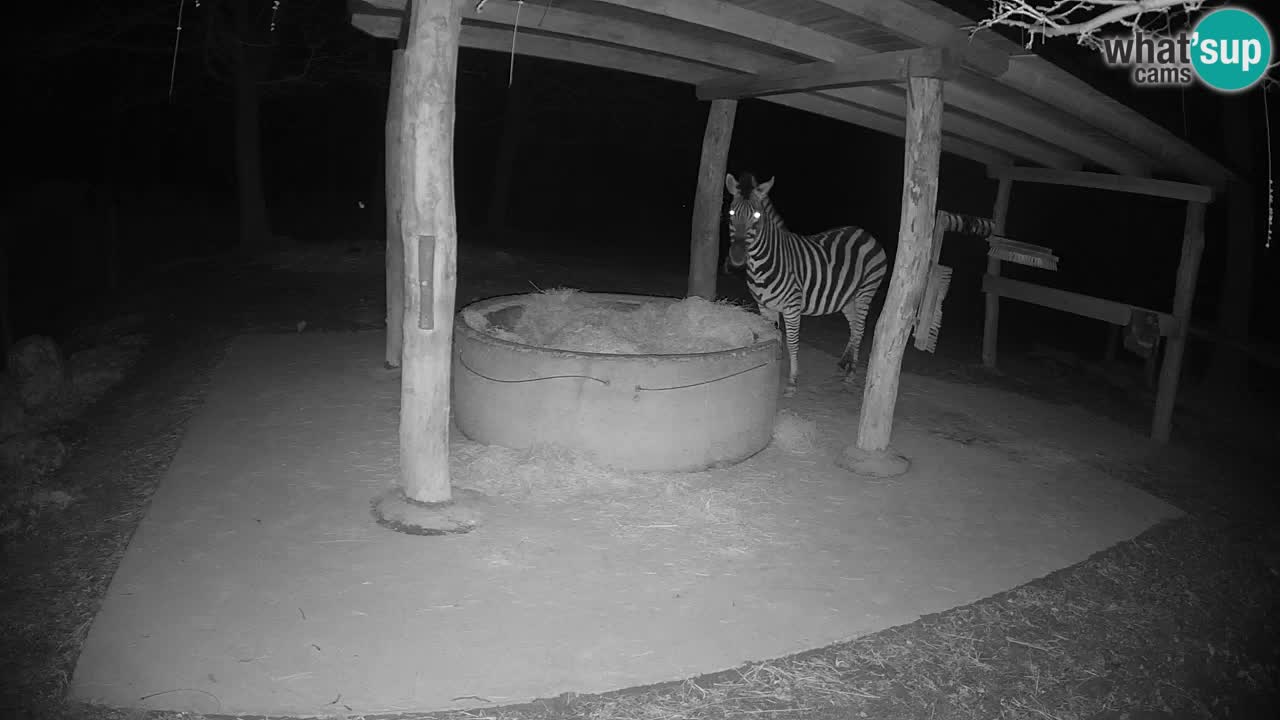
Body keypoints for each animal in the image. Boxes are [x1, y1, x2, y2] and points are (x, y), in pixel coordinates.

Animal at [724, 171, 888, 398]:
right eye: (731, 212)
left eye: (757, 216)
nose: (737, 256)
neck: (762, 263)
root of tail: (865, 233)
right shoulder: (764, 306)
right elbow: (772, 337)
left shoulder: (792, 307)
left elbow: (792, 342)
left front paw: (792, 381)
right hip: (847, 297)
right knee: (854, 325)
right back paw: (844, 363)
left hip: (867, 290)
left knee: (861, 327)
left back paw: (851, 373)